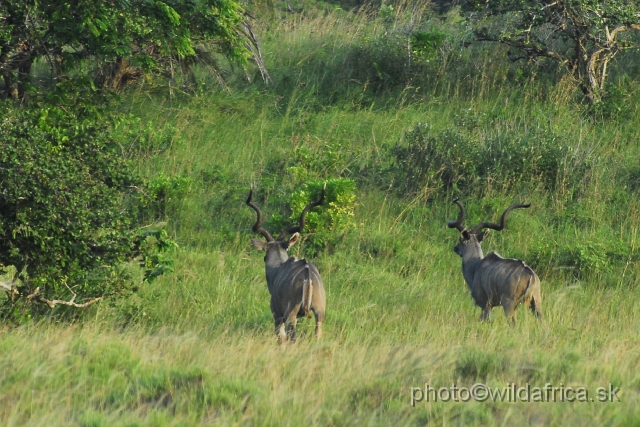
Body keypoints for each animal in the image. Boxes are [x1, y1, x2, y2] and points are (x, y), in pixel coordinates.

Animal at [245, 186, 324, 342]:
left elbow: (280, 337)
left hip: (290, 314)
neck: (278, 268)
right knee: (318, 334)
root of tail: (307, 276)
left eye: (265, 256)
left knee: (292, 338)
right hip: (319, 312)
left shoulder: (277, 313)